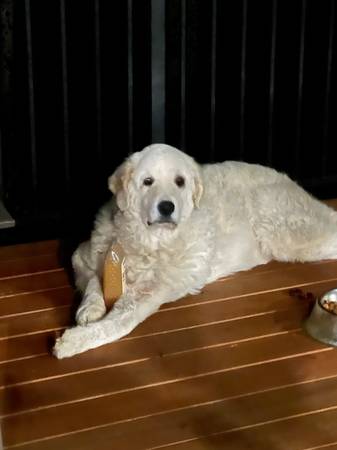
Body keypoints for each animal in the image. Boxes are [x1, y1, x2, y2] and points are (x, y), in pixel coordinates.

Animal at [53, 144, 337, 358]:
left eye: (180, 182)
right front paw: (90, 309)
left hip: (287, 234)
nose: (166, 207)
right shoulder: (83, 256)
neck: (147, 241)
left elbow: (118, 324)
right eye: (147, 182)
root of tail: (289, 181)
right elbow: (93, 282)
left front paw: (73, 341)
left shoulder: (152, 293)